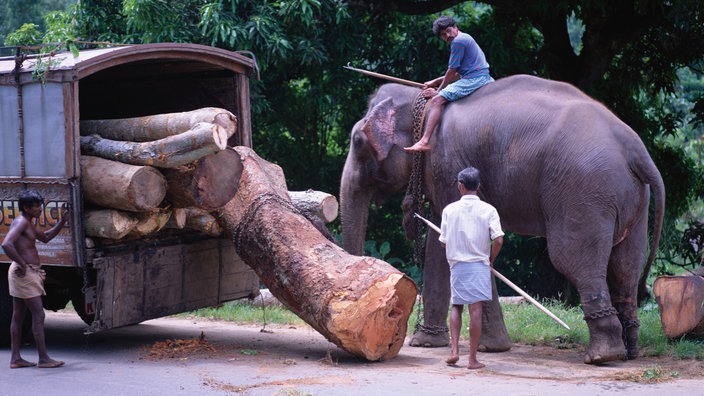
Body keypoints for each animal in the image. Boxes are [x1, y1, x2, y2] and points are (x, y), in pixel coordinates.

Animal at [340, 74, 664, 366]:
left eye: (358, 141)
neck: (420, 101)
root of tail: (637, 150)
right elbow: (440, 237)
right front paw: (432, 343)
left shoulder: (446, 163)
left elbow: (447, 242)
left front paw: (481, 348)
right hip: (633, 200)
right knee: (626, 265)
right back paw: (629, 351)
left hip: (584, 191)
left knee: (573, 259)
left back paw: (601, 356)